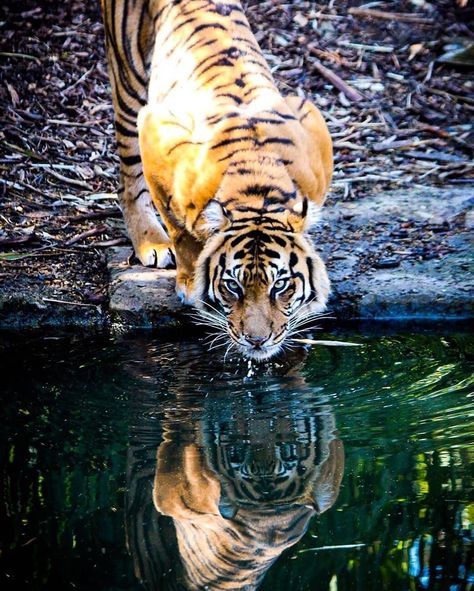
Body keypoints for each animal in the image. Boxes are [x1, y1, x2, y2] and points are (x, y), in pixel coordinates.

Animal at [103, 1, 334, 360]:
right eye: (232, 286)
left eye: (280, 285)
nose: (257, 341)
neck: (257, 193)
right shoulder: (155, 129)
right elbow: (180, 231)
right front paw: (188, 283)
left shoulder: (310, 117)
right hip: (129, 79)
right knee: (128, 181)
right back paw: (151, 244)